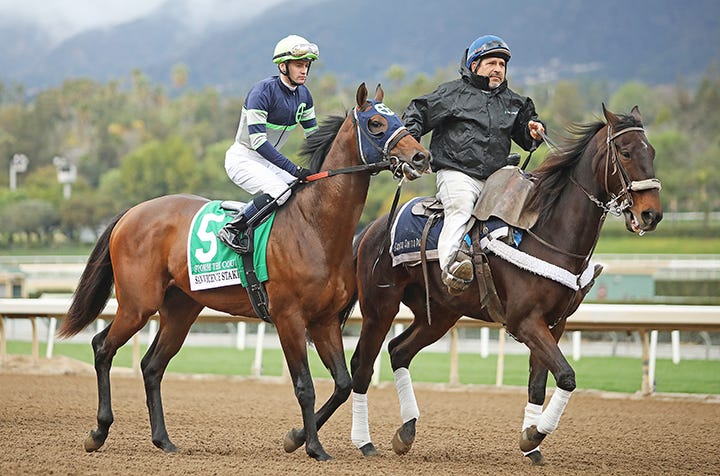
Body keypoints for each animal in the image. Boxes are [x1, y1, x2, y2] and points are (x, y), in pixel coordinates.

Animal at [57, 83, 430, 461]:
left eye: (399, 118)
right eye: (376, 124)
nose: (421, 157)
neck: (315, 225)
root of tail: (132, 212)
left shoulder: (323, 320)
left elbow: (341, 384)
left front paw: (296, 437)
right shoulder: (288, 317)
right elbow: (305, 386)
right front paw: (313, 447)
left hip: (180, 309)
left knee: (152, 366)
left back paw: (163, 439)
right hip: (137, 305)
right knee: (103, 347)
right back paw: (98, 432)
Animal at [348, 105, 663, 464]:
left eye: (651, 152)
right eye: (625, 152)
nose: (651, 214)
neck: (545, 232)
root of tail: (371, 229)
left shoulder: (554, 324)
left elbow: (539, 383)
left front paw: (532, 443)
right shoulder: (524, 321)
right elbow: (566, 376)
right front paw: (533, 435)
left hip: (440, 314)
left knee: (399, 351)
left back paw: (406, 430)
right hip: (380, 308)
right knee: (362, 366)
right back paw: (363, 441)